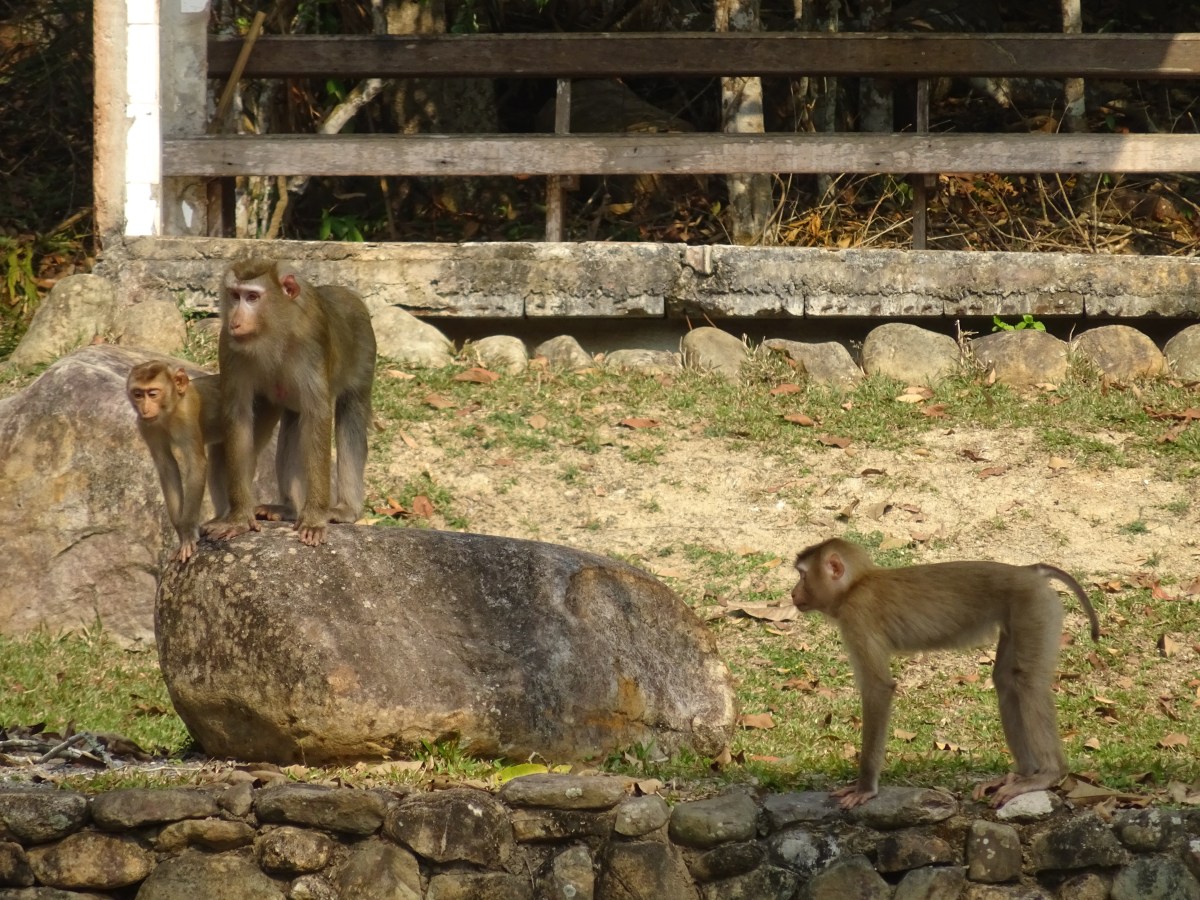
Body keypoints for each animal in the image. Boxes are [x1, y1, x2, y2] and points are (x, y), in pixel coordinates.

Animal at [126, 361, 228, 563]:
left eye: (153, 394)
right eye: (138, 394)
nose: (145, 409)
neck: (169, 410)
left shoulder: (186, 415)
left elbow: (196, 464)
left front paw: (188, 532)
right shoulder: (146, 426)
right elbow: (167, 467)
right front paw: (181, 534)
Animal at [202, 258, 376, 547]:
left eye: (252, 297)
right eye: (235, 295)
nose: (235, 321)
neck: (275, 330)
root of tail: (346, 294)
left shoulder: (312, 340)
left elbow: (318, 416)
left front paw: (314, 518)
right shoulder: (228, 344)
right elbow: (238, 416)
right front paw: (238, 518)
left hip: (364, 354)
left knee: (351, 416)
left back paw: (345, 510)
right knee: (287, 424)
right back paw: (288, 508)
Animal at [790, 537, 1100, 809]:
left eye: (803, 575)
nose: (793, 593)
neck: (856, 586)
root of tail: (1028, 570)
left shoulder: (857, 617)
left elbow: (878, 688)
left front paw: (864, 788)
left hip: (1034, 607)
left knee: (1027, 682)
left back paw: (1047, 775)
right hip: (1021, 612)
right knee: (1006, 681)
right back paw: (1022, 774)